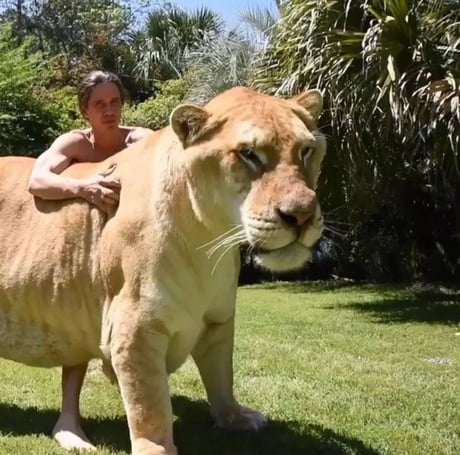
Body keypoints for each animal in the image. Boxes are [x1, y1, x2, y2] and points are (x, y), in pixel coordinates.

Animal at [0, 87, 328, 454]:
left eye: (306, 150)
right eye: (249, 154)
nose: (301, 216)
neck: (209, 242)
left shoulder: (218, 318)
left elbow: (221, 375)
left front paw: (235, 418)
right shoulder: (134, 327)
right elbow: (150, 405)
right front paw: (156, 449)